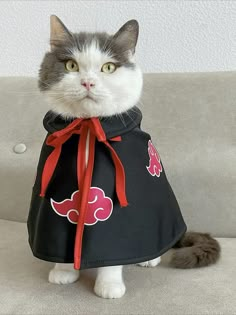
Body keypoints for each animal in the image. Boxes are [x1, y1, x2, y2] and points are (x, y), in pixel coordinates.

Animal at [33, 15, 221, 302]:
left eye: (108, 67)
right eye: (71, 65)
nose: (88, 82)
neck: (88, 128)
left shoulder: (119, 218)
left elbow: (112, 256)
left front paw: (109, 286)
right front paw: (63, 272)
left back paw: (149, 259)